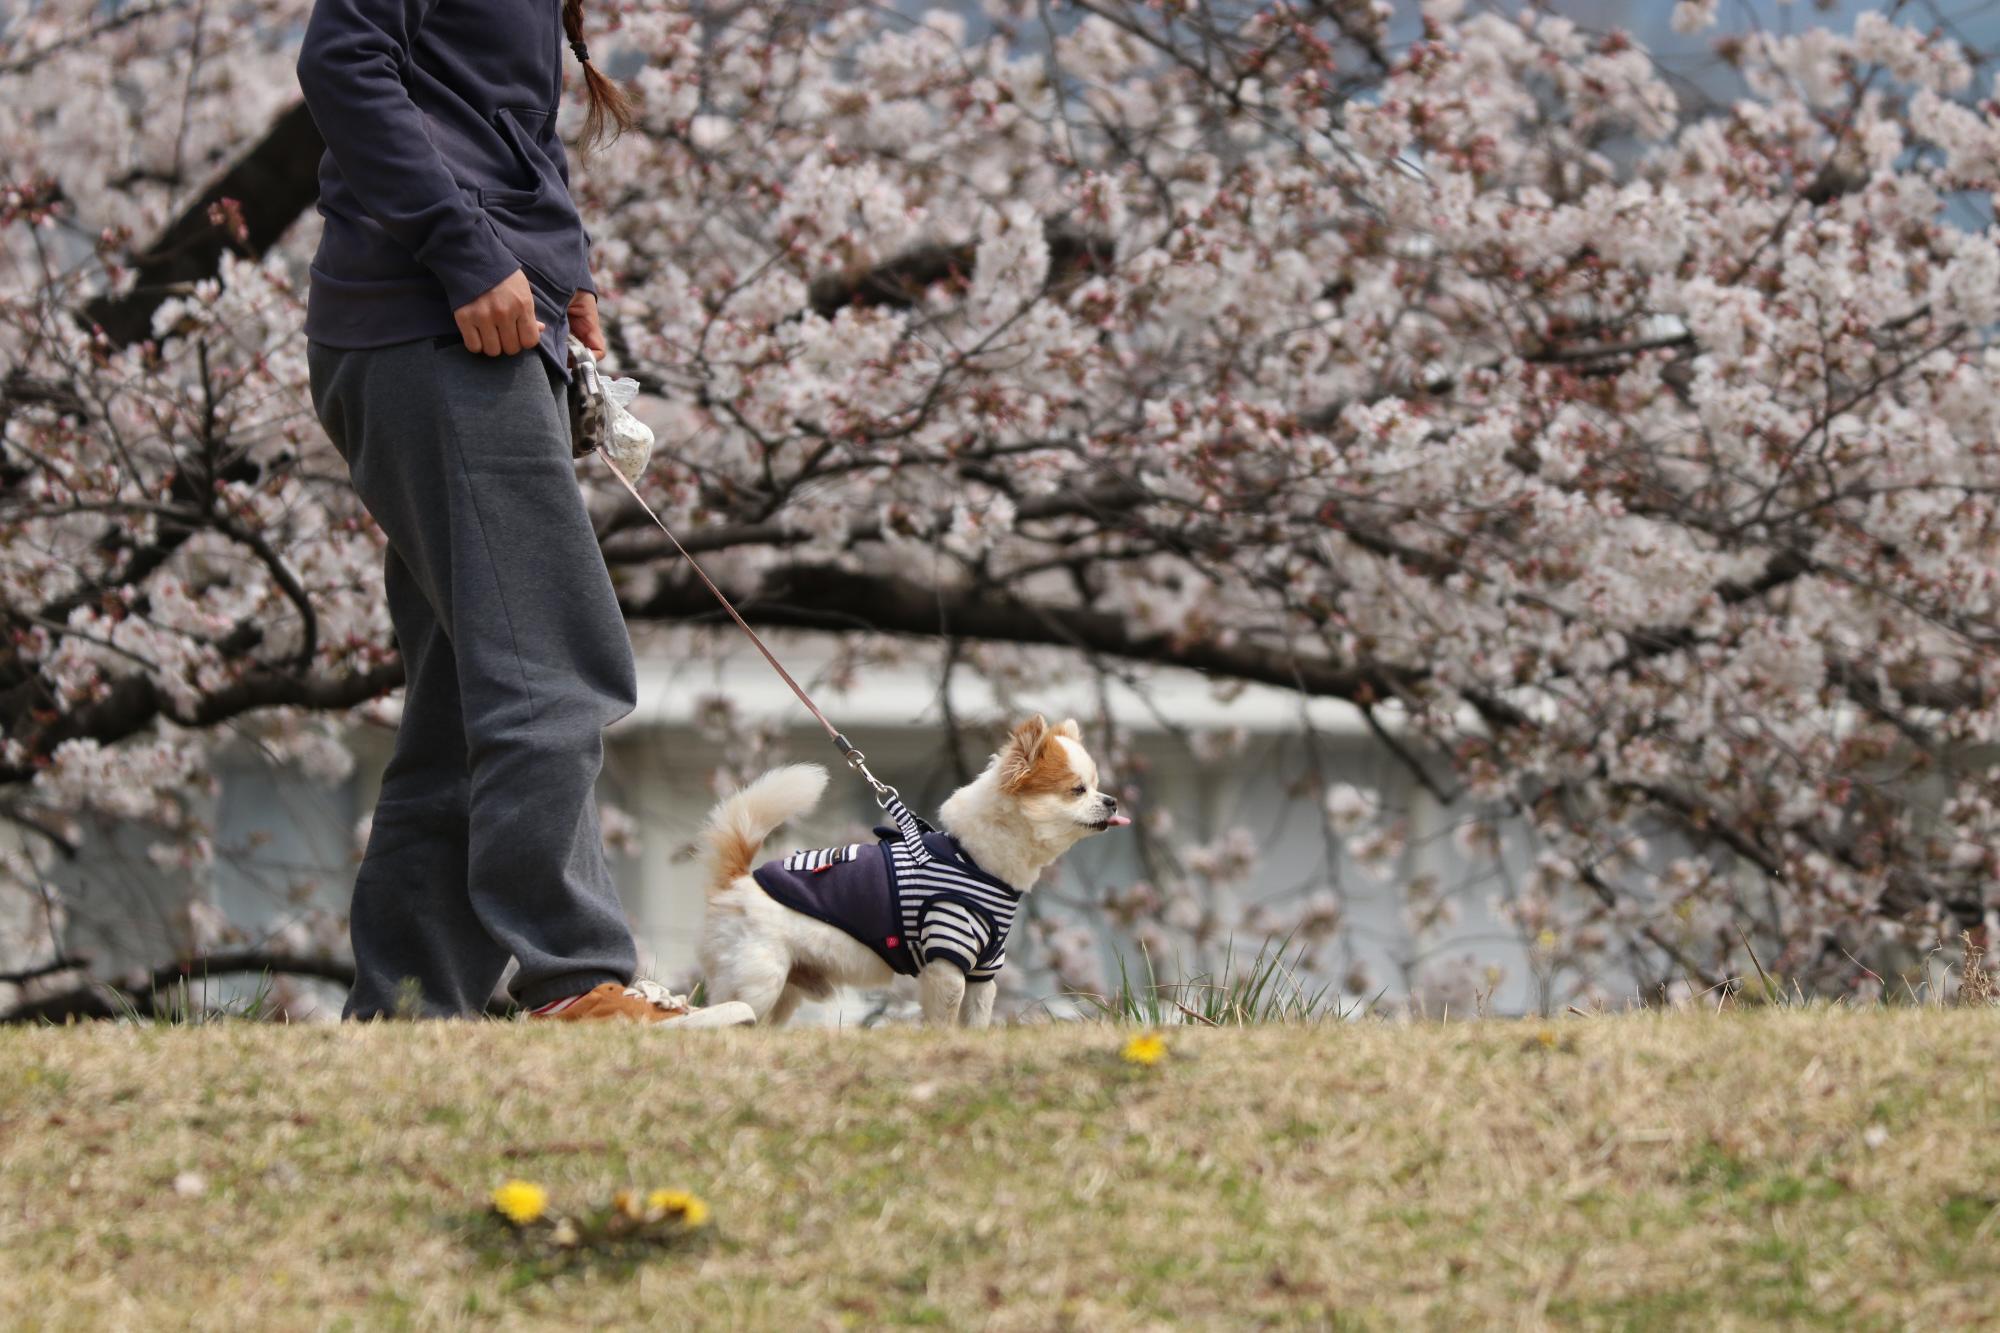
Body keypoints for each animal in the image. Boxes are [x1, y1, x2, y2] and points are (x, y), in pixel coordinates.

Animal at [692, 712, 1128, 1020]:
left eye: (1096, 786)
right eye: (1077, 790)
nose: (1111, 800)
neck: (974, 859)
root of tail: (736, 883)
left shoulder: (983, 971)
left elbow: (976, 1021)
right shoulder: (948, 960)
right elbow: (944, 1020)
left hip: (785, 990)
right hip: (760, 977)